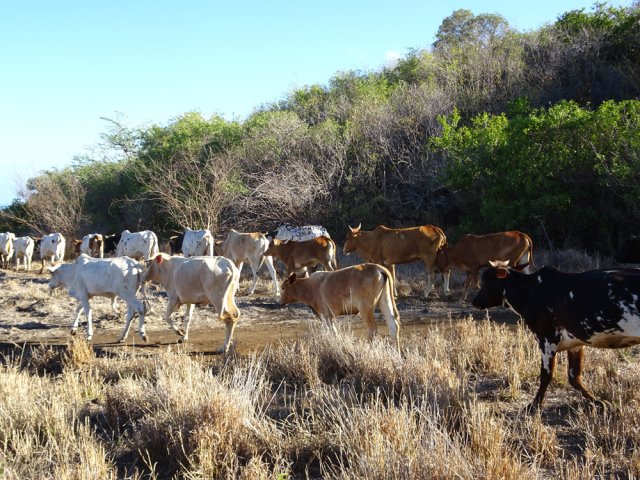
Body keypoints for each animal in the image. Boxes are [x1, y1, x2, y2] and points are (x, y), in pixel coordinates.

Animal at [472, 261, 640, 411]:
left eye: (487, 282)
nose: (475, 301)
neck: (531, 291)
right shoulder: (575, 343)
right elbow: (574, 377)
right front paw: (599, 402)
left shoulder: (546, 339)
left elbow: (546, 375)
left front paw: (534, 405)